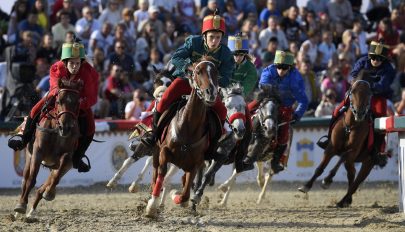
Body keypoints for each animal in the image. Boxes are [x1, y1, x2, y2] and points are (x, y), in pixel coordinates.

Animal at [14, 79, 82, 218]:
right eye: (58, 101)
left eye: (77, 102)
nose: (65, 127)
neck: (56, 132)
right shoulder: (38, 153)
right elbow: (31, 180)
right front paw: (21, 206)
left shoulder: (67, 157)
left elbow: (55, 178)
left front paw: (49, 193)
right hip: (29, 157)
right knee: (25, 180)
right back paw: (20, 208)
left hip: (63, 166)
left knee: (49, 182)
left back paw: (34, 209)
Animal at [145, 56, 219, 218]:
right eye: (198, 71)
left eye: (216, 72)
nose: (211, 92)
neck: (189, 126)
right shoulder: (164, 152)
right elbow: (161, 174)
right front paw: (152, 206)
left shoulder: (196, 164)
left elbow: (185, 194)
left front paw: (177, 196)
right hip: (156, 153)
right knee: (155, 174)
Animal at [296, 77, 372, 208]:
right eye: (352, 92)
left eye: (369, 93)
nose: (359, 113)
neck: (350, 126)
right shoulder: (331, 148)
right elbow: (319, 168)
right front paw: (306, 186)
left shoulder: (352, 151)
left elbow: (341, 158)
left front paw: (327, 180)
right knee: (352, 174)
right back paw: (347, 200)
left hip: (368, 162)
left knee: (356, 181)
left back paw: (343, 201)